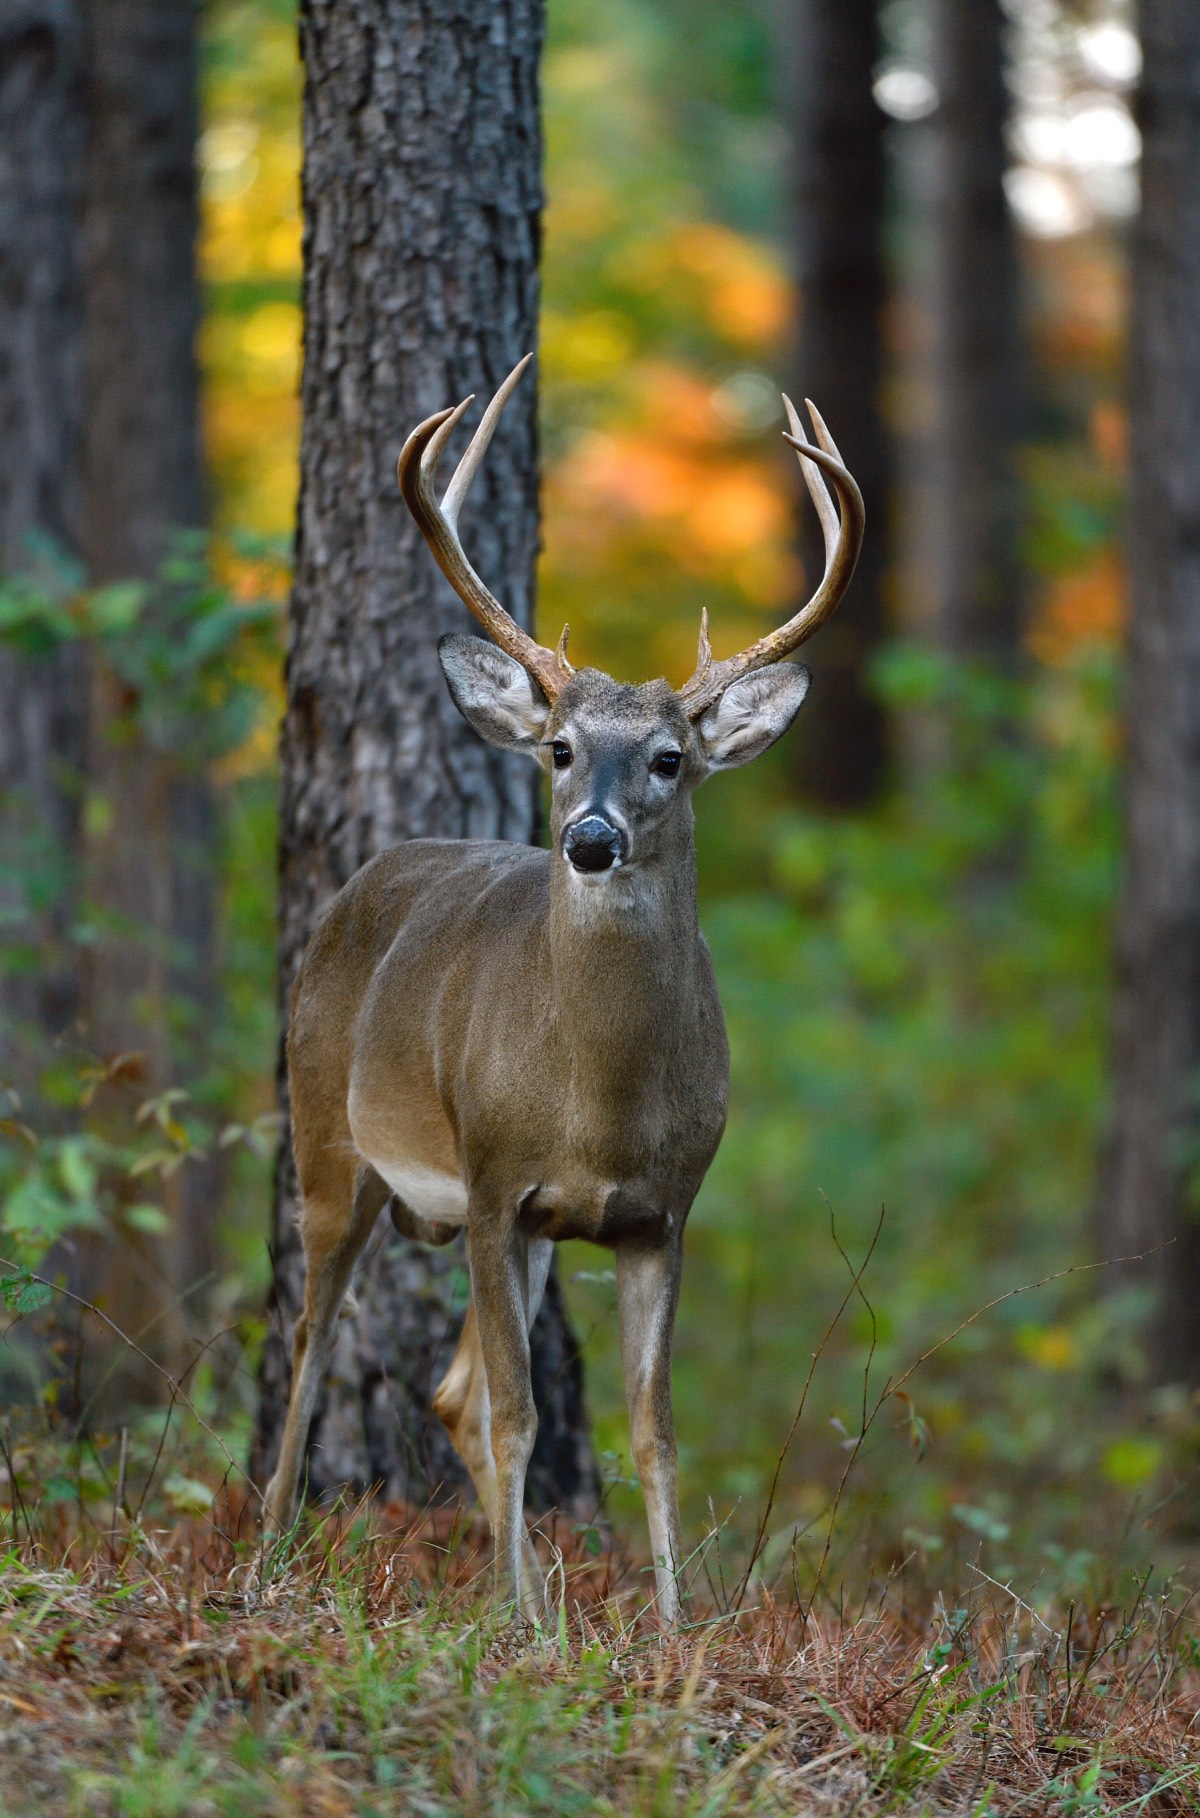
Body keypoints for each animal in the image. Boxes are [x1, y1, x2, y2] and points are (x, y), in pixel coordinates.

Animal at [261, 354, 861, 1621]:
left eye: (672, 758)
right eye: (560, 749)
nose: (589, 838)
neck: (599, 1106)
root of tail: (363, 879)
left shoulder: (662, 1211)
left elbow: (654, 1430)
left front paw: (671, 1626)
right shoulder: (495, 1181)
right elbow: (522, 1411)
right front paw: (523, 1626)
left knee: (446, 1391)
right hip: (331, 1142)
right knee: (315, 1338)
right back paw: (270, 1552)